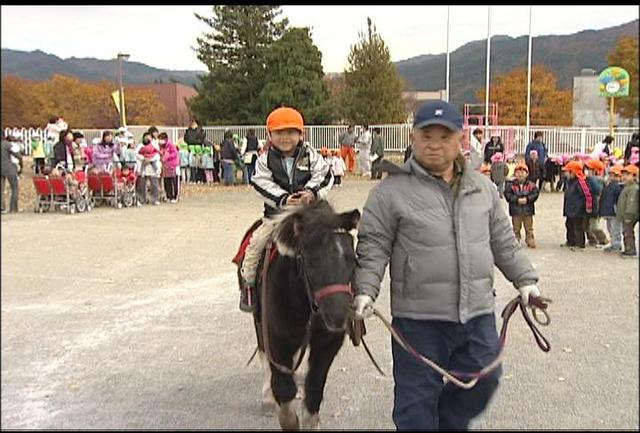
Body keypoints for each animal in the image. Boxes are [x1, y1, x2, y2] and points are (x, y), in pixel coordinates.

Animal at [242, 200, 360, 428]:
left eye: (352, 258)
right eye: (310, 260)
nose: (338, 315)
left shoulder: (327, 343)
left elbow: (314, 388)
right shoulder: (277, 339)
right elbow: (283, 388)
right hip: (258, 322)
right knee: (264, 355)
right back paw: (267, 398)